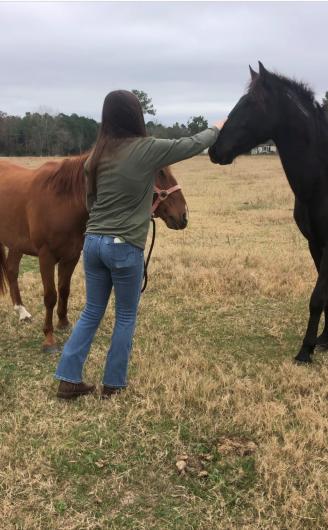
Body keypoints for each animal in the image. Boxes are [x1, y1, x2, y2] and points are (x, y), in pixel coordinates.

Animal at [0, 153, 187, 350]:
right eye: (159, 171)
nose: (183, 215)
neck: (62, 200)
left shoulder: (71, 256)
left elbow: (64, 289)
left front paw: (63, 323)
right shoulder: (46, 257)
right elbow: (50, 296)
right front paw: (49, 338)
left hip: (16, 244)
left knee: (12, 270)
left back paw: (22, 312)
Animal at [209, 59, 328, 360]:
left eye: (251, 102)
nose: (215, 150)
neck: (321, 181)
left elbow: (318, 297)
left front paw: (306, 350)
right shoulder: (314, 243)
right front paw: (323, 339)